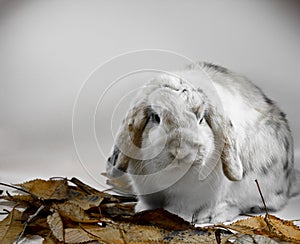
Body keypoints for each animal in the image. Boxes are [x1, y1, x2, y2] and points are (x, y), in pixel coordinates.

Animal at [104, 62, 298, 224]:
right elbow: (148, 203)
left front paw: (177, 217)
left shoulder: (190, 198)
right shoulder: (148, 191)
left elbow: (180, 208)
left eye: (201, 119)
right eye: (156, 118)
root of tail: (289, 182)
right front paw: (142, 211)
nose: (181, 151)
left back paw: (215, 215)